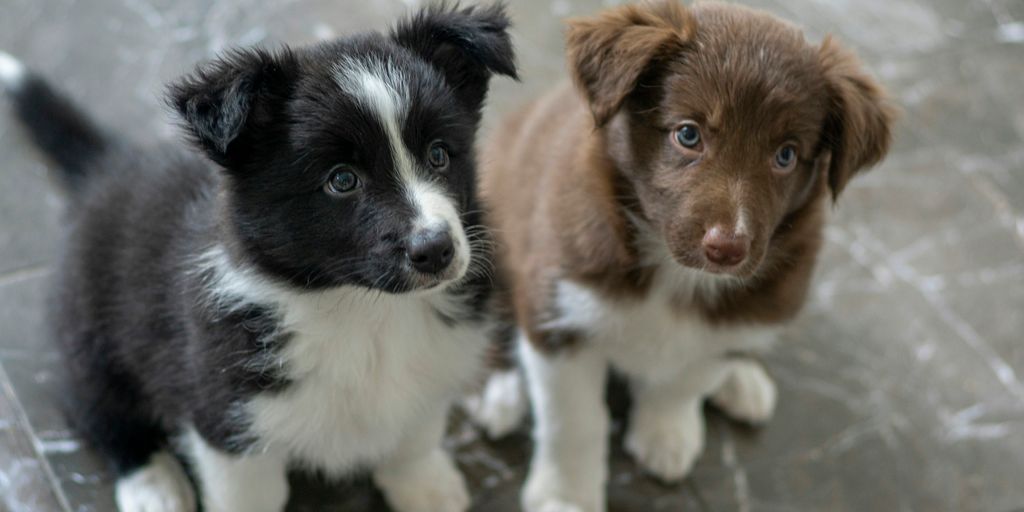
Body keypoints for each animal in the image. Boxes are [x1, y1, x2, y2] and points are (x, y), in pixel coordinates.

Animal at [0, 4, 512, 512]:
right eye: (342, 180)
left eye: (439, 154)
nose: (437, 249)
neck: (363, 310)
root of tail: (111, 167)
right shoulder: (226, 415)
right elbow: (249, 494)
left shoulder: (436, 365)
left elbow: (416, 433)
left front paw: (426, 486)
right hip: (91, 334)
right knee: (97, 410)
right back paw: (154, 487)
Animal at [468, 2, 897, 509]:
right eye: (688, 135)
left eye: (786, 155)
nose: (726, 248)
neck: (673, 272)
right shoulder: (559, 312)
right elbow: (572, 421)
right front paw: (566, 495)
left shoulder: (737, 313)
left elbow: (688, 377)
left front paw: (666, 433)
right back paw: (498, 392)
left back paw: (741, 377)